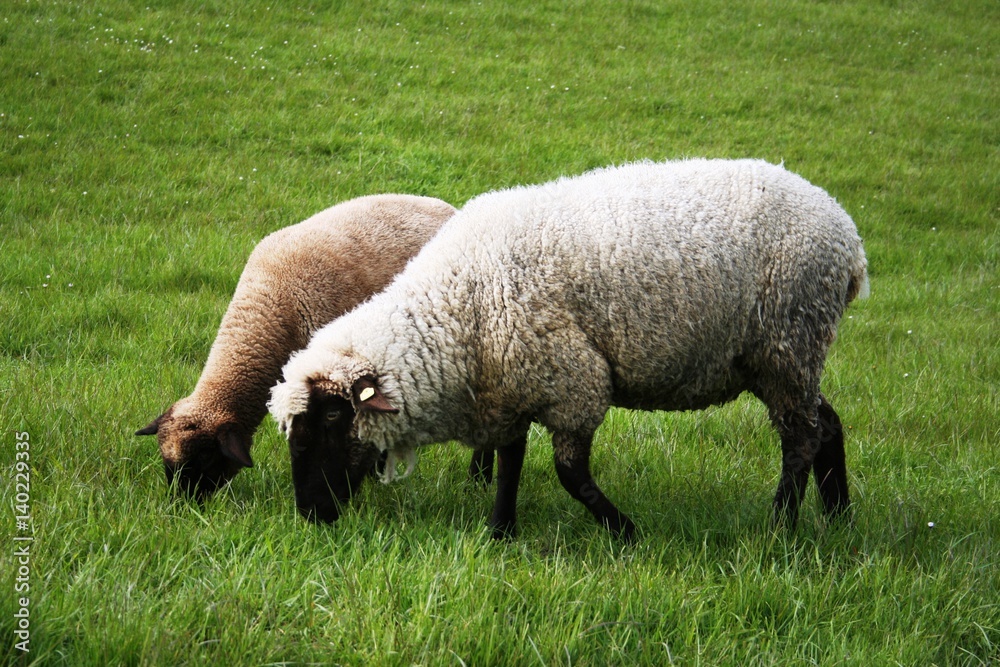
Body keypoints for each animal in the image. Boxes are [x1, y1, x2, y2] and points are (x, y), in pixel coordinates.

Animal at [268, 159, 869, 541]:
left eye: (330, 419)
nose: (310, 516)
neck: (459, 310)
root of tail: (848, 238)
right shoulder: (513, 384)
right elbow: (511, 461)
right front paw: (500, 532)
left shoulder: (574, 381)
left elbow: (570, 474)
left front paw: (626, 533)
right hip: (783, 357)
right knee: (826, 424)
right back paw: (838, 516)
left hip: (789, 340)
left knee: (800, 439)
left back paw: (781, 527)